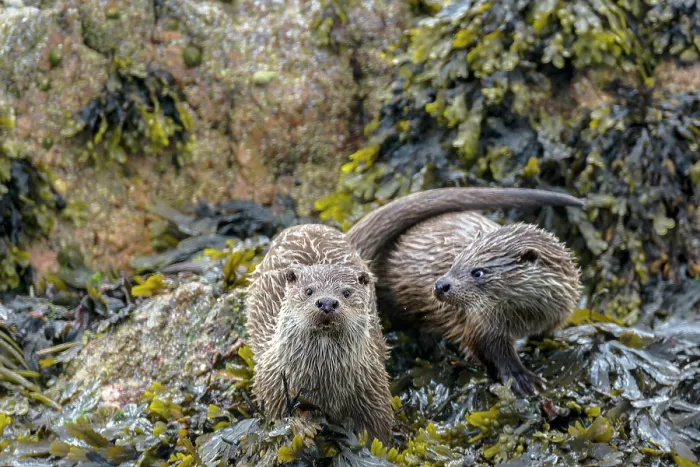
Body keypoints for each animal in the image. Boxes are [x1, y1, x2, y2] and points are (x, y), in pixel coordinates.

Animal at [347, 192, 583, 397]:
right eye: (454, 261)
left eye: (478, 272)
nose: (440, 285)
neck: (529, 318)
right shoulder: (482, 321)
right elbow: (490, 350)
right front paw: (521, 378)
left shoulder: (556, 315)